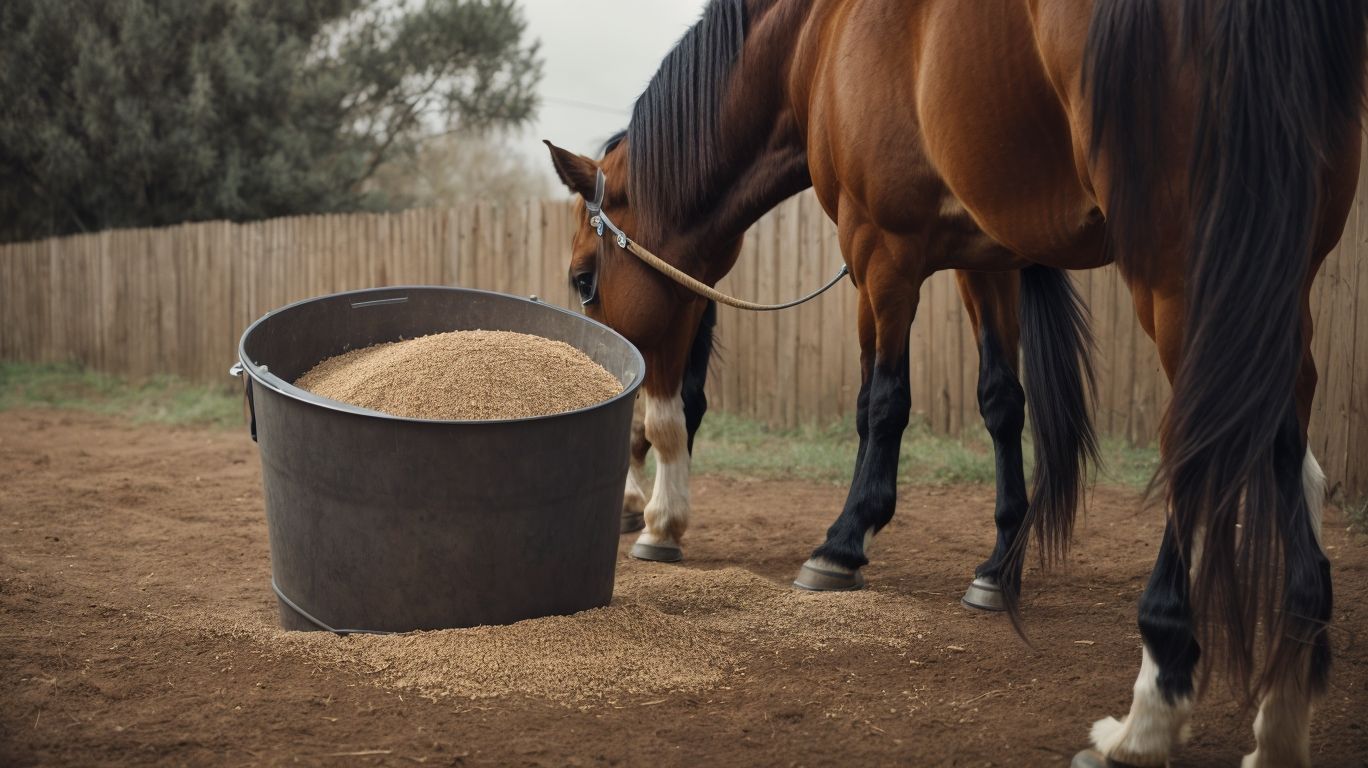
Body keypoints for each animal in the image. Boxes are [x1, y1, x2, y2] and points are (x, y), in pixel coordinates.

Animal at [545, 0, 1365, 764]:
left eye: (584, 279)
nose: (637, 465)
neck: (820, 36)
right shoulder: (985, 258)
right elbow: (1001, 401)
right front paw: (998, 567)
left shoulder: (878, 250)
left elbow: (881, 401)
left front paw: (842, 542)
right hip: (1270, 271)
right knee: (1276, 444)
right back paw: (1282, 709)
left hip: (1181, 275)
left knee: (1203, 442)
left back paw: (1149, 713)